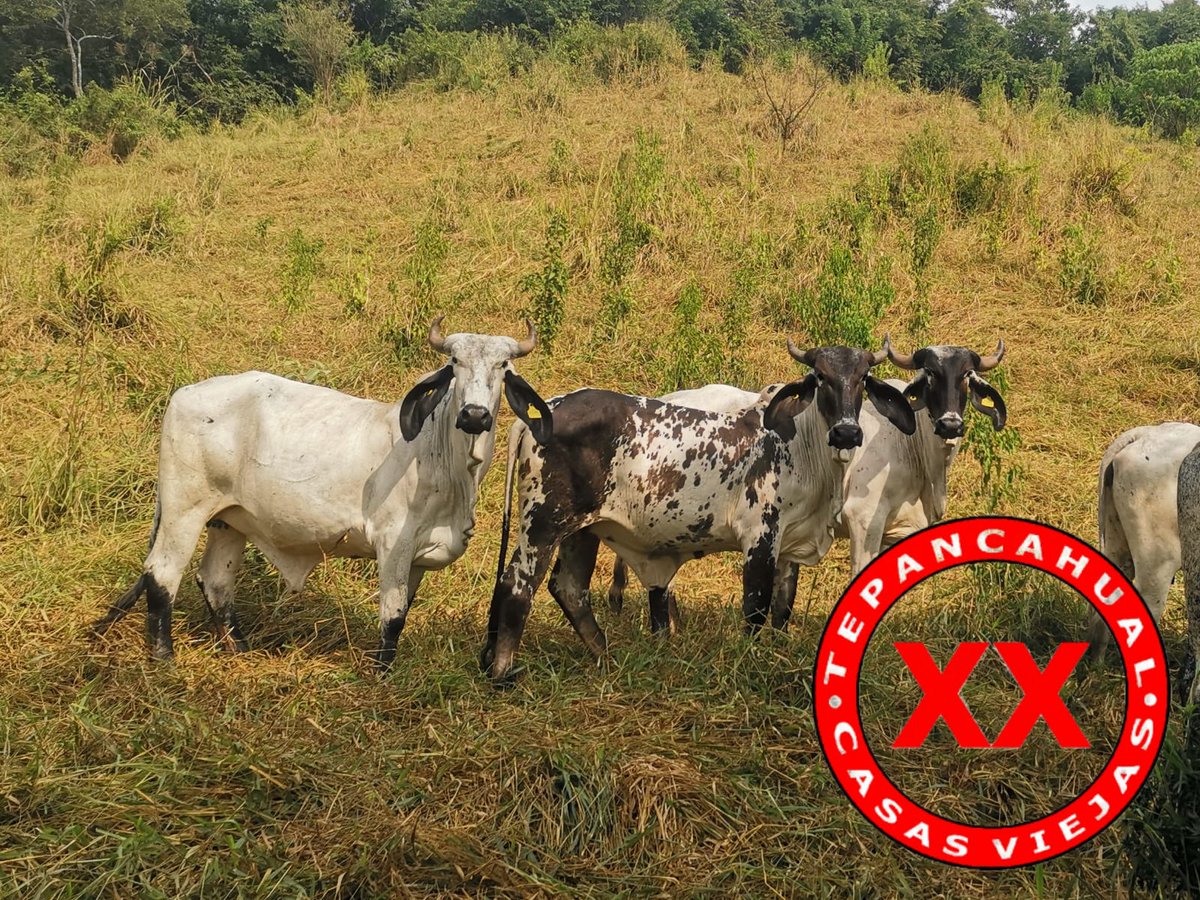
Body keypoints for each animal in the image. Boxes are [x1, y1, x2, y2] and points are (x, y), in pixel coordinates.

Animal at [92, 318, 552, 669]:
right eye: (455, 362)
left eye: (503, 364)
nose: (474, 415)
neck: (444, 460)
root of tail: (183, 394)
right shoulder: (394, 544)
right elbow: (392, 618)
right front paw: (380, 674)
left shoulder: (419, 558)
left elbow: (403, 612)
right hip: (182, 510)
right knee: (162, 575)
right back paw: (164, 659)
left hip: (228, 521)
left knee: (216, 581)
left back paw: (239, 649)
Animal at [478, 341, 918, 683]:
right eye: (820, 377)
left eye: (863, 377)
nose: (847, 432)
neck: (799, 442)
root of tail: (544, 410)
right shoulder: (760, 537)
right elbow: (755, 609)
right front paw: (750, 661)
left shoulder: (789, 544)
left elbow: (782, 607)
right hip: (543, 523)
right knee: (517, 584)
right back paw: (504, 671)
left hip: (582, 530)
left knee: (569, 588)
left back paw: (605, 655)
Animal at [603, 340, 1009, 622]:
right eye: (931, 377)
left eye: (966, 377)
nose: (951, 425)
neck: (911, 446)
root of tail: (668, 397)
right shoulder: (863, 520)